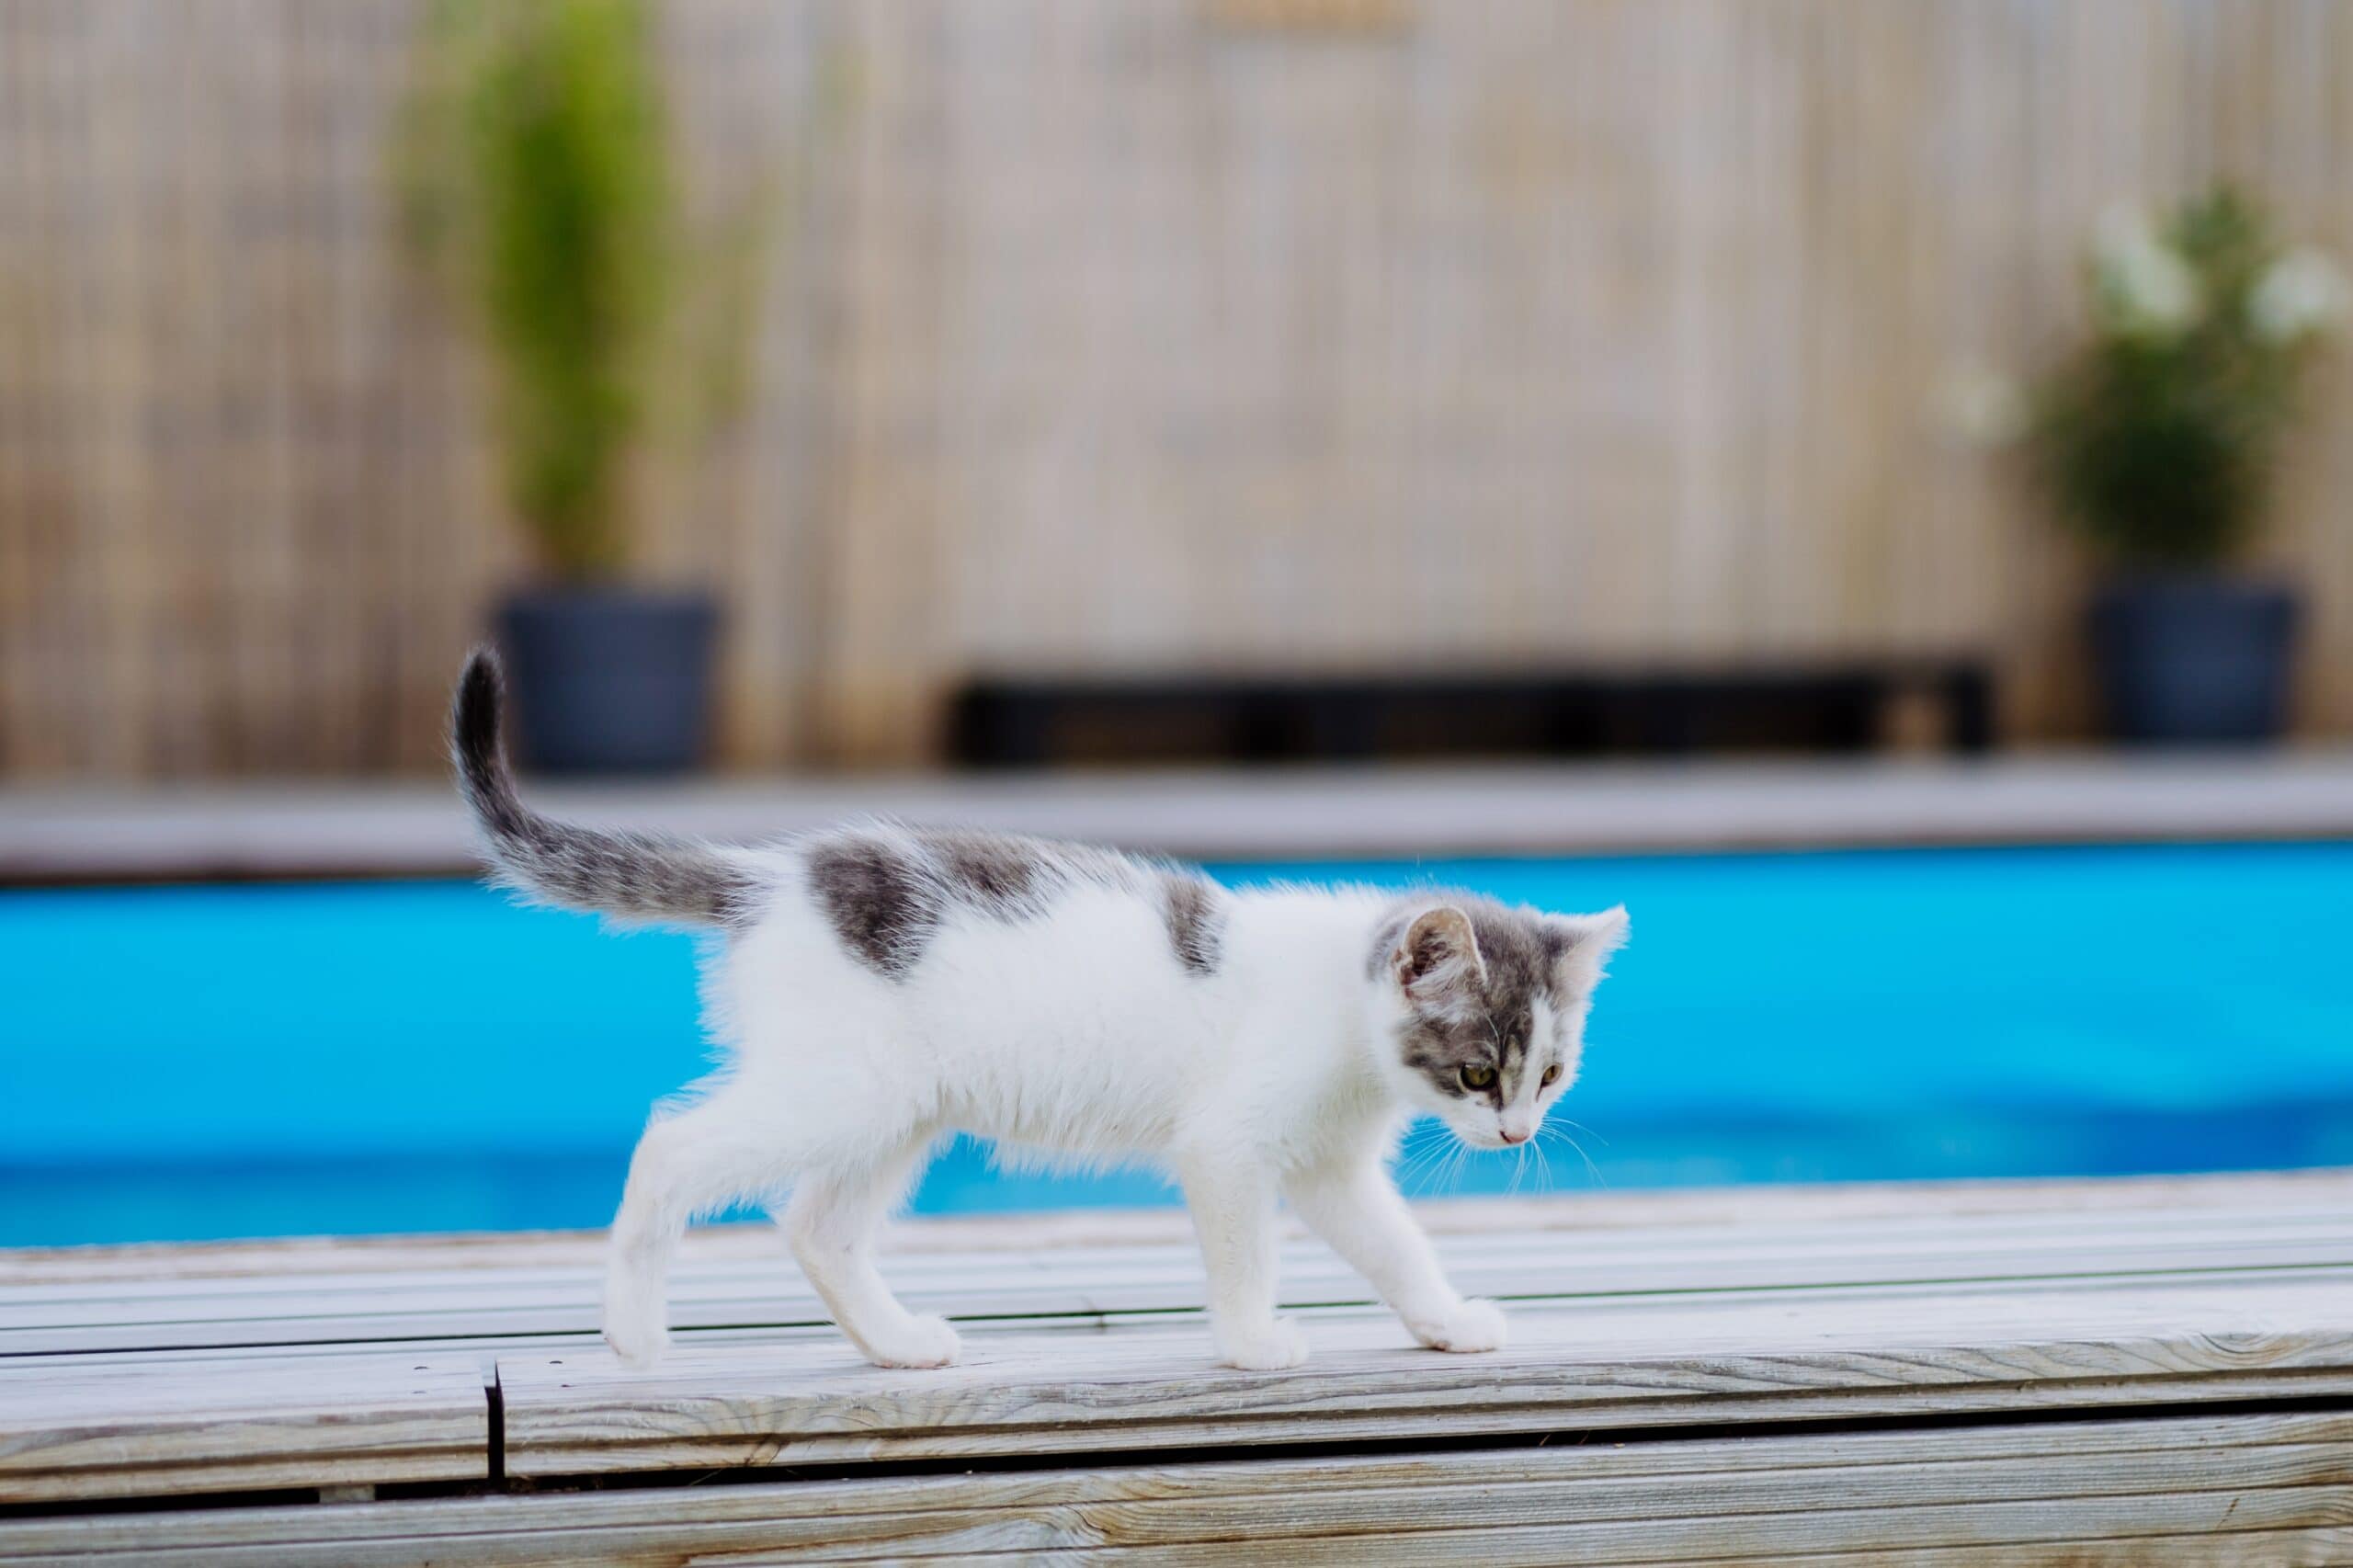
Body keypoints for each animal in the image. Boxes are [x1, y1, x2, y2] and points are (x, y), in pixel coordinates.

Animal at [449, 654, 1628, 1365]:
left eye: (1548, 1073)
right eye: (1476, 1069)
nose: (1515, 1131)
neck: (1343, 1013)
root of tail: (772, 874)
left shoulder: (1330, 1164)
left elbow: (1392, 1243)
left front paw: (1444, 1319)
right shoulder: (1228, 1145)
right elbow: (1245, 1249)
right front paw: (1252, 1340)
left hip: (894, 1106)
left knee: (817, 1223)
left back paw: (896, 1344)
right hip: (838, 1089)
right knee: (668, 1144)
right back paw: (634, 1333)